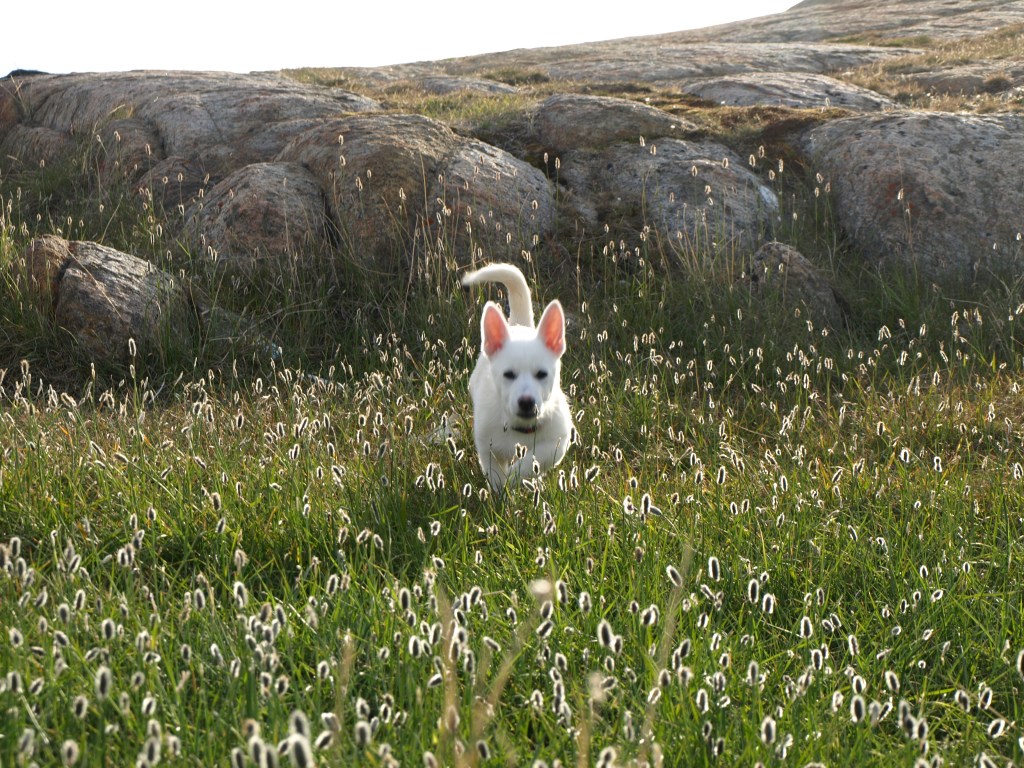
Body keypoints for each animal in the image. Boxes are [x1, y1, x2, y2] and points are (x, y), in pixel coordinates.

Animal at [462, 264, 573, 492]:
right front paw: (501, 490)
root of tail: (520, 325)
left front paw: (517, 476)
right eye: (509, 375)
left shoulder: (558, 440)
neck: (521, 428)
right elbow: (494, 473)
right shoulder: (487, 445)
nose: (526, 402)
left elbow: (535, 459)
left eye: (542, 374)